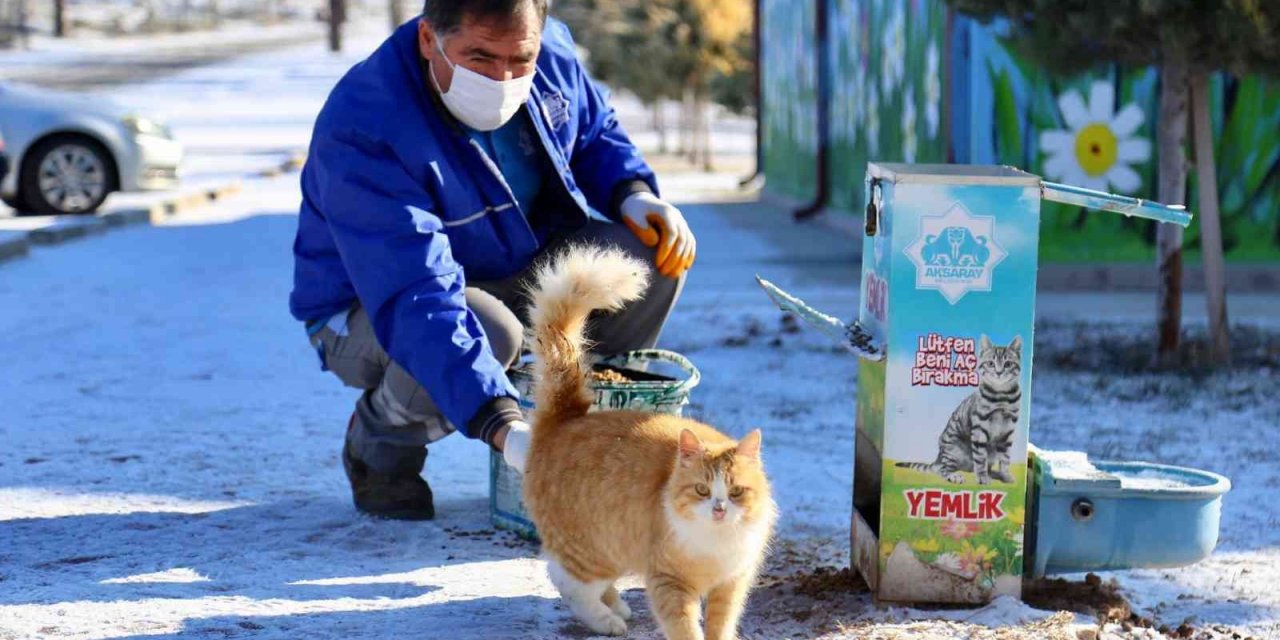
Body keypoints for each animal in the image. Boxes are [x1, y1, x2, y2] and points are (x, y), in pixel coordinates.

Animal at [519, 245, 778, 640]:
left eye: (735, 492)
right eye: (702, 490)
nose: (719, 509)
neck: (714, 544)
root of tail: (566, 417)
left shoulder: (730, 585)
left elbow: (721, 625)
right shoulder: (669, 583)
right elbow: (685, 629)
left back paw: (617, 607)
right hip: (592, 550)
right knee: (566, 580)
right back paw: (607, 621)